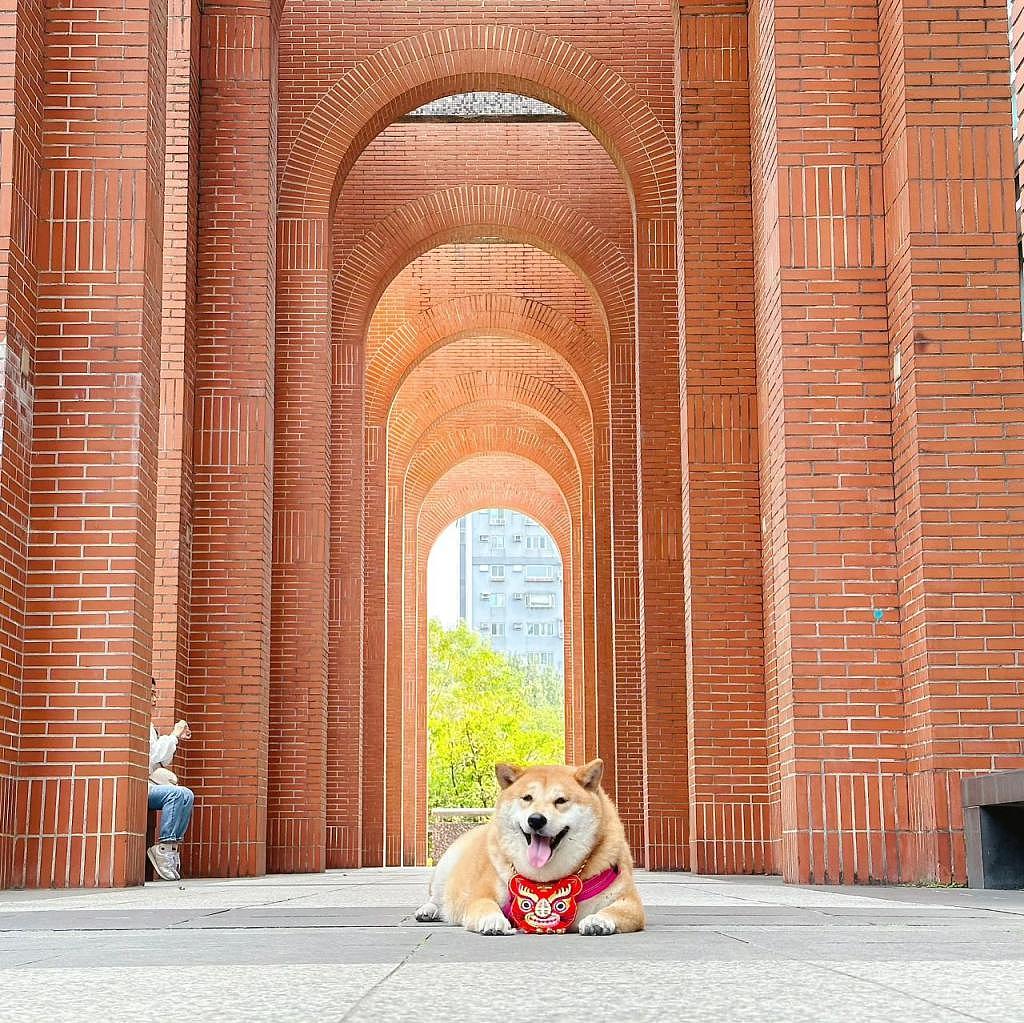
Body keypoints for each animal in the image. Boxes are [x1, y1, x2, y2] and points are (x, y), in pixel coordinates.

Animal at [413, 761, 638, 938]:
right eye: (527, 798)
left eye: (561, 800)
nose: (536, 819)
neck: (544, 880)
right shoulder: (482, 894)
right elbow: (485, 905)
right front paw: (494, 920)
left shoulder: (630, 901)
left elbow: (617, 912)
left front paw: (597, 921)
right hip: (445, 867)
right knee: (436, 896)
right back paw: (428, 910)